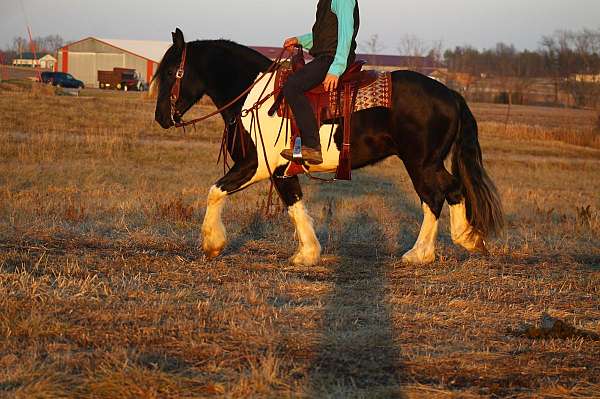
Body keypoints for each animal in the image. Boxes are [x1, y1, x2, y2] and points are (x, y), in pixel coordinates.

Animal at [152, 28, 504, 266]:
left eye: (170, 71)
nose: (160, 118)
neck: (252, 95)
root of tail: (452, 94)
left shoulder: (256, 165)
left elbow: (215, 191)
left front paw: (212, 243)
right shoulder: (281, 170)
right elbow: (294, 203)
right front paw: (307, 253)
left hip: (421, 162)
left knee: (437, 195)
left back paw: (425, 252)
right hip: (427, 162)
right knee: (449, 191)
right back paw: (457, 241)